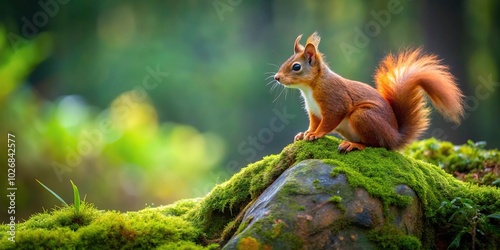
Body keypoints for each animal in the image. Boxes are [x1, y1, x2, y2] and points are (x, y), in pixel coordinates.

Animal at [274, 32, 464, 151]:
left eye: (296, 67)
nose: (276, 77)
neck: (310, 87)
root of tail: (394, 137)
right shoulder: (314, 111)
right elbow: (314, 123)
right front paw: (305, 133)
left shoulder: (335, 100)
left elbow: (329, 121)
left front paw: (316, 134)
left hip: (363, 116)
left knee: (376, 145)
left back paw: (355, 145)